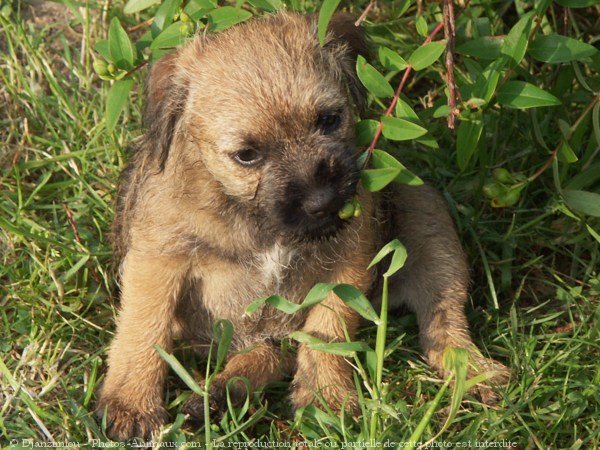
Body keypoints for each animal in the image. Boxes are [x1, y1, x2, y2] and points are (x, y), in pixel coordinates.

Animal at [96, 11, 508, 440]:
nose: (322, 202)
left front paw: (325, 399)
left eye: (329, 120)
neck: (254, 219)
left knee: (443, 318)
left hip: (428, 218)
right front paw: (130, 402)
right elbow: (144, 326)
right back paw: (219, 396)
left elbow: (328, 331)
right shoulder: (158, 260)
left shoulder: (348, 261)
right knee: (265, 354)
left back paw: (473, 371)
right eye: (246, 155)